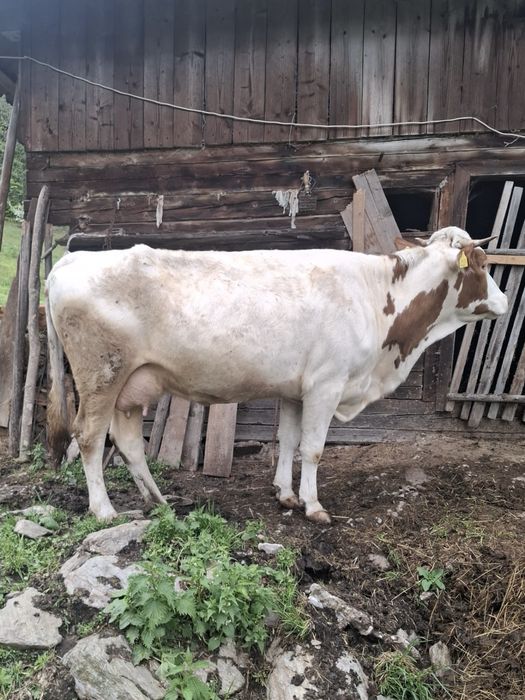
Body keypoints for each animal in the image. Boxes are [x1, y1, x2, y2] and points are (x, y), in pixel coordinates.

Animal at [45, 226, 507, 523]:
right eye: (483, 263)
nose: (503, 302)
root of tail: (70, 259)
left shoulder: (295, 389)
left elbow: (287, 440)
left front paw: (285, 495)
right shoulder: (326, 384)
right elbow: (314, 448)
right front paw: (314, 506)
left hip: (132, 384)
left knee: (126, 442)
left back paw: (158, 500)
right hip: (101, 375)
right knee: (88, 436)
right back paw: (104, 510)